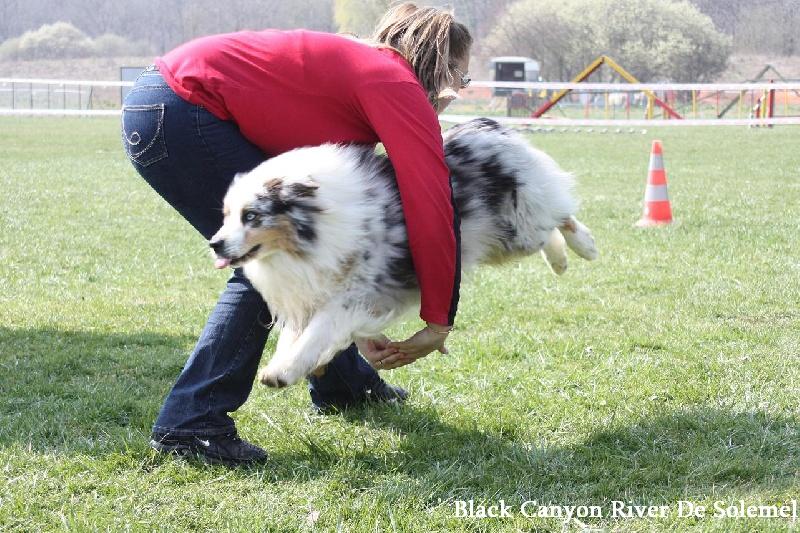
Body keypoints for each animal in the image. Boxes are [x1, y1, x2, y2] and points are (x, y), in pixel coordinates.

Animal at [209, 118, 596, 386]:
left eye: (252, 215)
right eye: (225, 215)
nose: (215, 244)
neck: (313, 230)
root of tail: (486, 125)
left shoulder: (353, 294)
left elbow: (316, 333)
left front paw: (285, 371)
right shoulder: (309, 292)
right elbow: (295, 335)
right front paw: (283, 367)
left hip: (519, 227)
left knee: (558, 215)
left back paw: (583, 248)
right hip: (497, 243)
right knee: (550, 227)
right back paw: (561, 261)